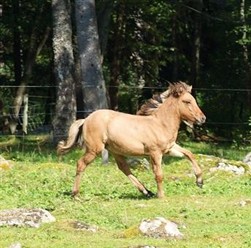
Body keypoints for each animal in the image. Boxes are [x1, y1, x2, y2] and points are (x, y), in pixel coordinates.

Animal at [57, 82, 206, 199]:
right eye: (187, 101)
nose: (202, 118)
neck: (160, 124)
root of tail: (86, 119)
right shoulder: (155, 152)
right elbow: (159, 174)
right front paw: (161, 195)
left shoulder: (169, 148)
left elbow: (189, 154)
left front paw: (199, 181)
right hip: (95, 149)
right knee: (81, 164)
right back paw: (75, 194)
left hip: (115, 151)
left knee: (124, 168)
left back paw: (146, 191)